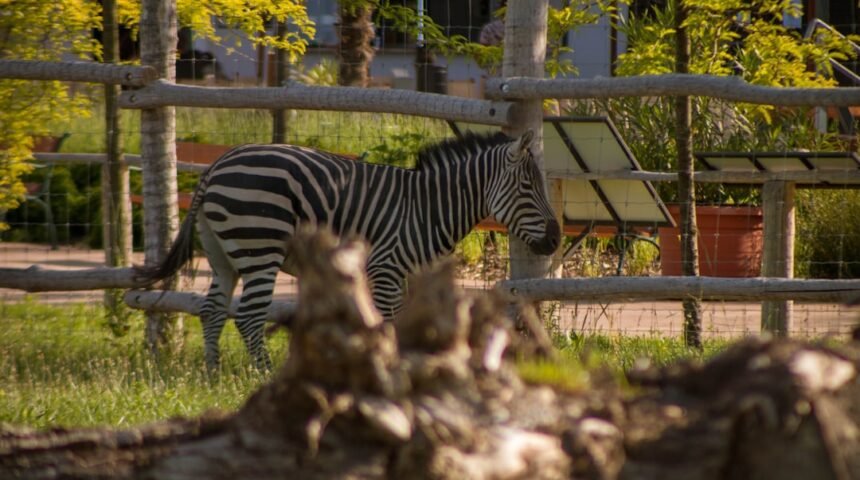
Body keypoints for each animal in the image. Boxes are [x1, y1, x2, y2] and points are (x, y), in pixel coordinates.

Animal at [136, 130, 561, 370]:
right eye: (528, 188)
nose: (556, 240)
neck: (427, 207)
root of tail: (216, 165)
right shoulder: (386, 270)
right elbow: (389, 324)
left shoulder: (407, 276)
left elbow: (409, 324)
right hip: (261, 244)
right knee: (249, 315)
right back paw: (263, 372)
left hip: (220, 252)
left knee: (211, 311)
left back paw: (212, 373)